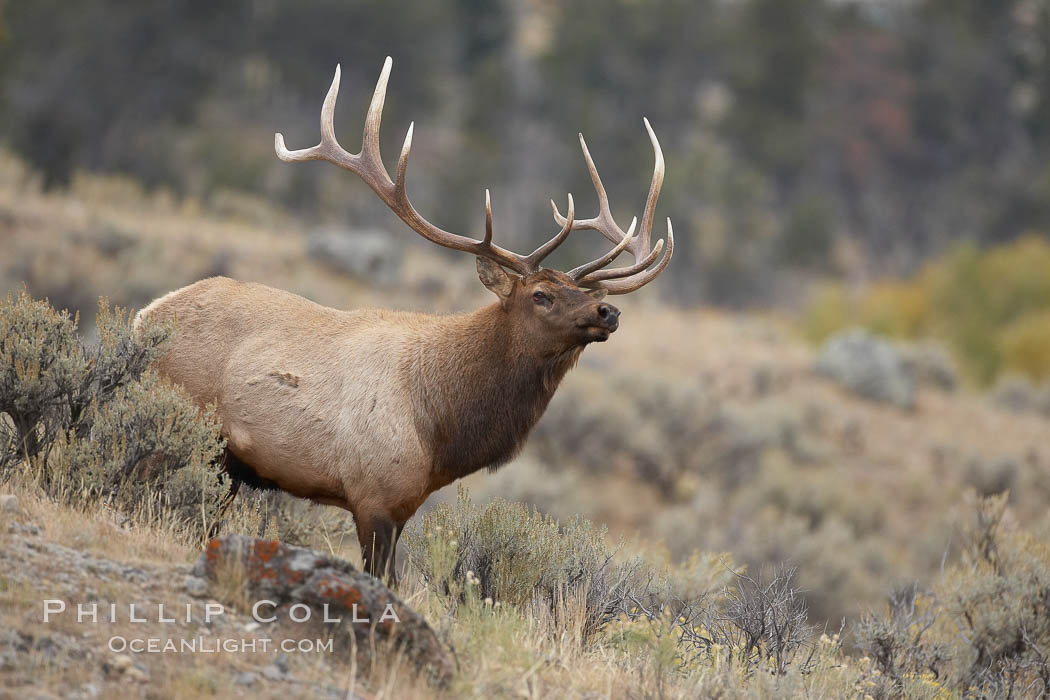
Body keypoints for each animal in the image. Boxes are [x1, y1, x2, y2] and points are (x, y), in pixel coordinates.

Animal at [137, 57, 672, 583]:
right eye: (541, 295)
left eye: (584, 292)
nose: (608, 310)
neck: (439, 427)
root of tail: (145, 317)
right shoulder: (373, 493)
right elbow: (382, 581)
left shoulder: (403, 505)